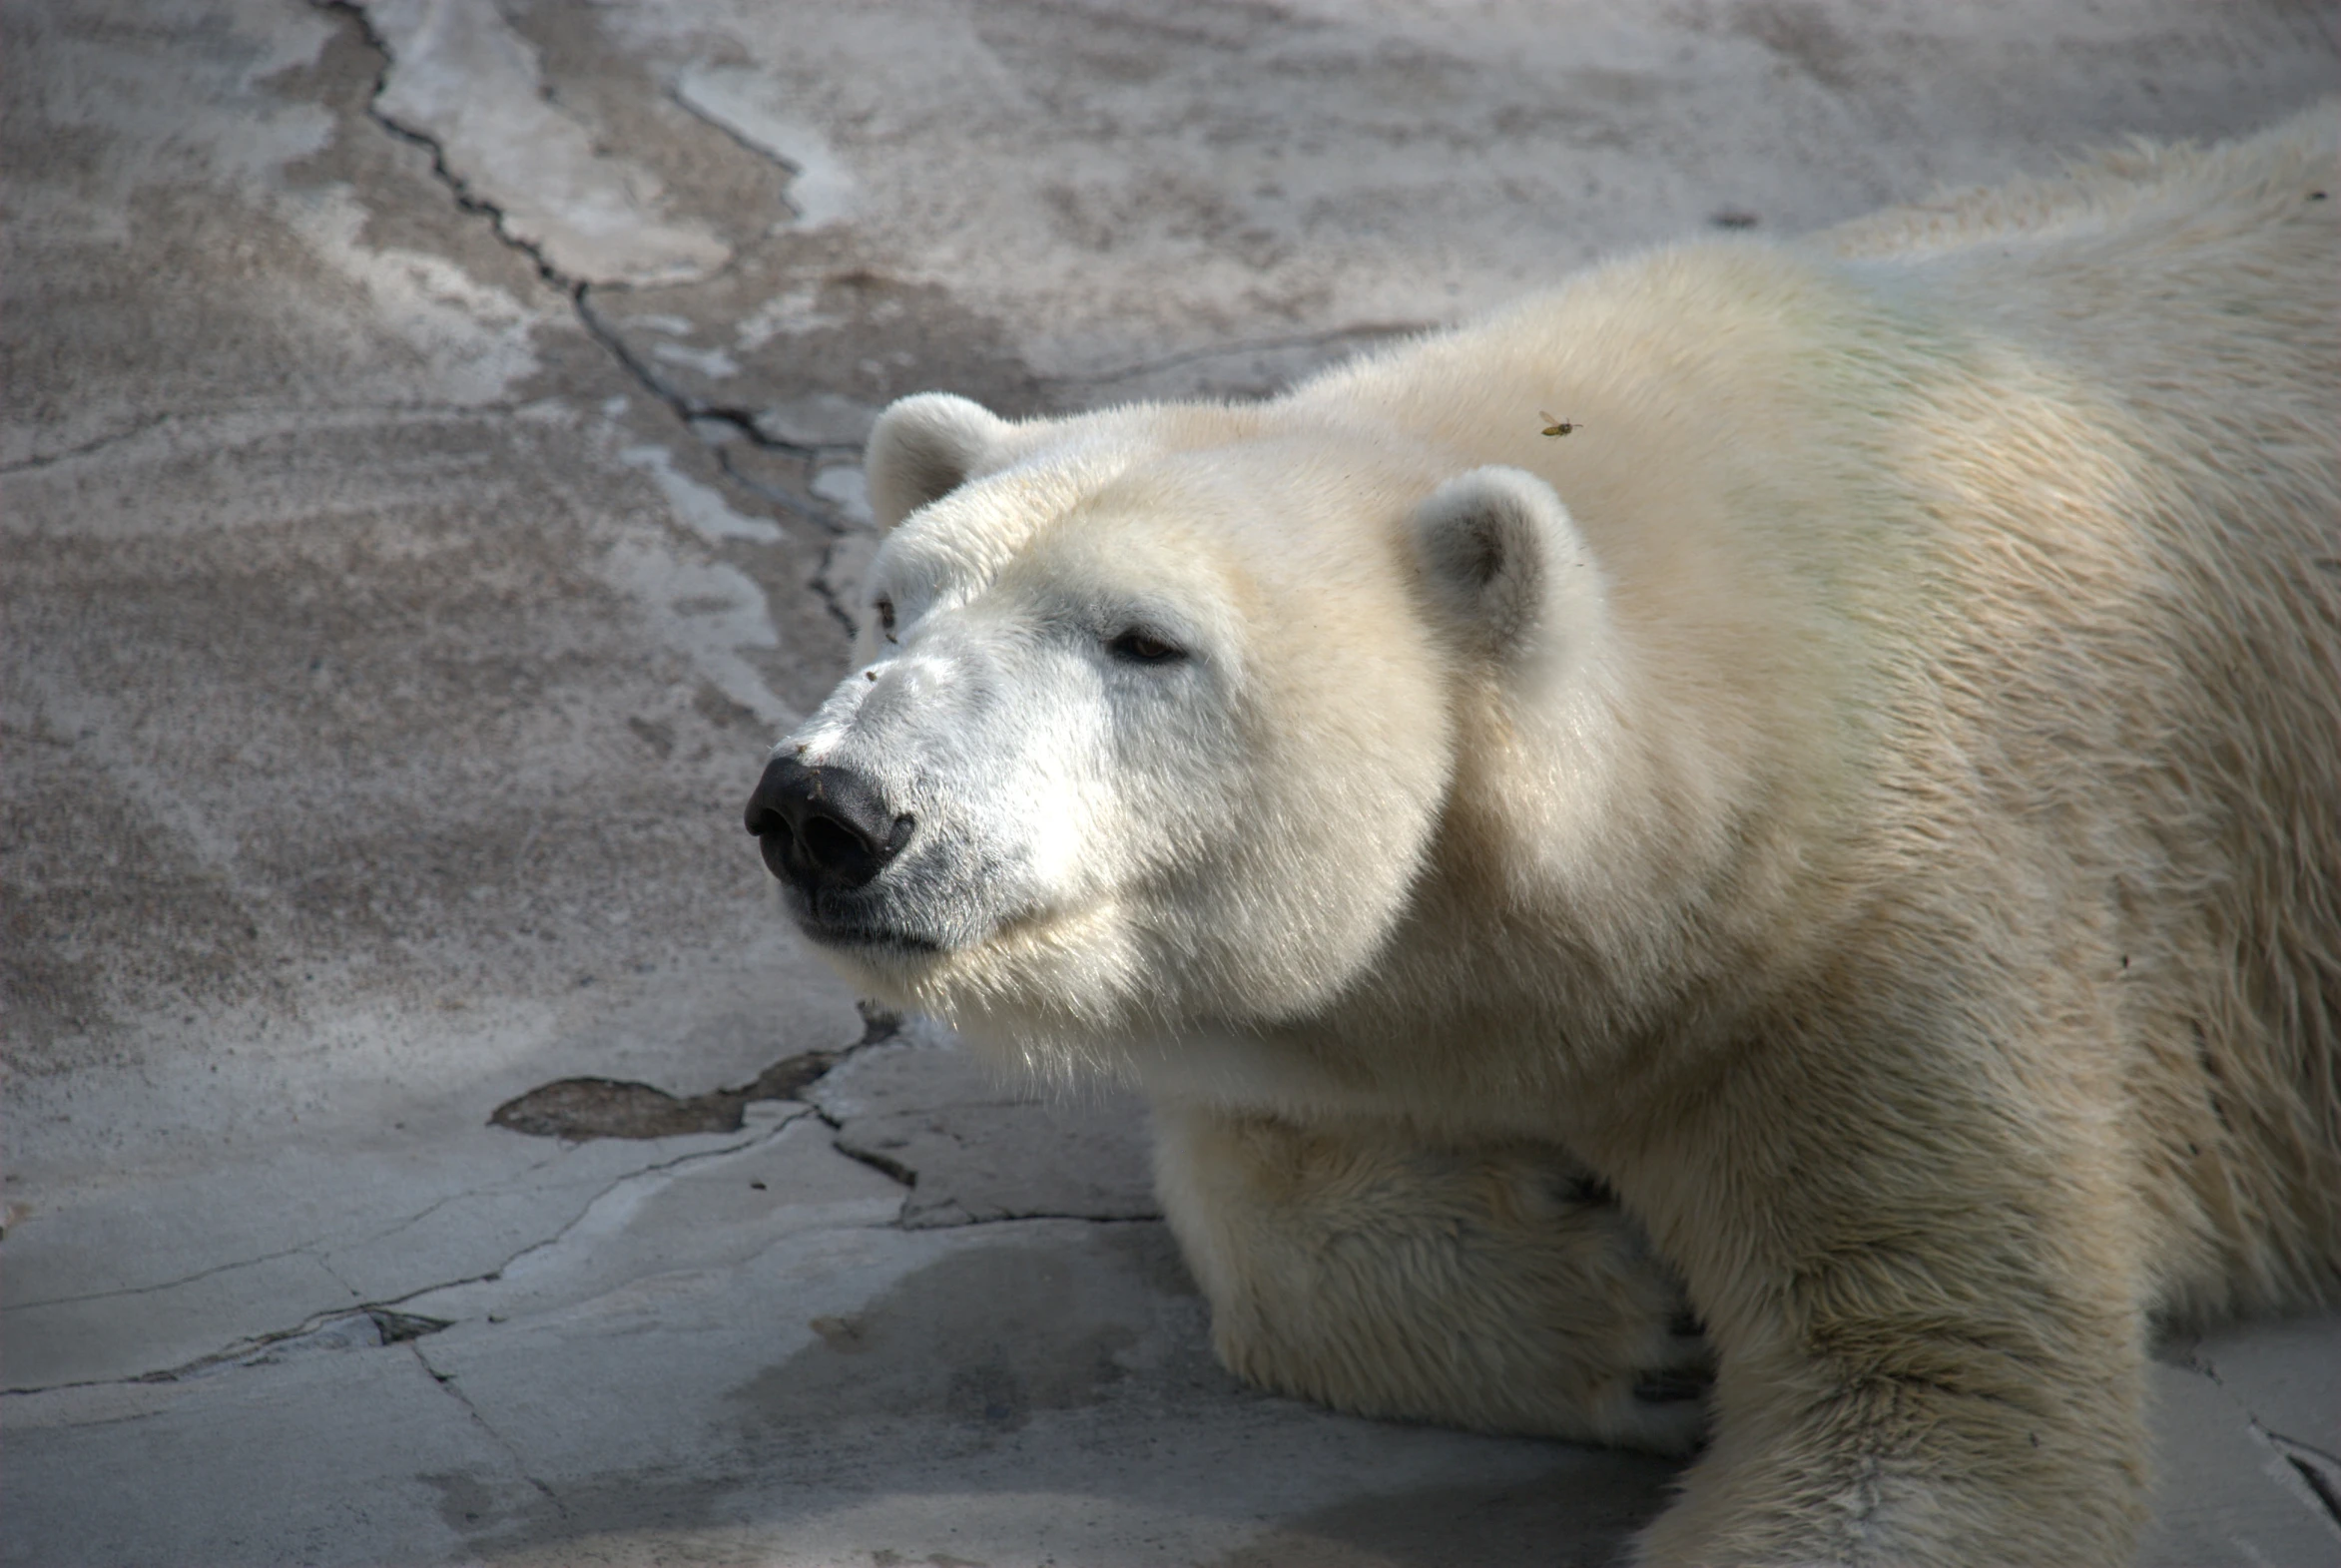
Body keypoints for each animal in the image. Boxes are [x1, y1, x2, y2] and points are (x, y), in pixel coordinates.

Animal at [749, 104, 2341, 1563]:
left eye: (1145, 639)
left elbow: (1941, 1393)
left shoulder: (1896, 922)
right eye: (892, 605)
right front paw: (1626, 1311)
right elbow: (1258, 1138)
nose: (827, 810)